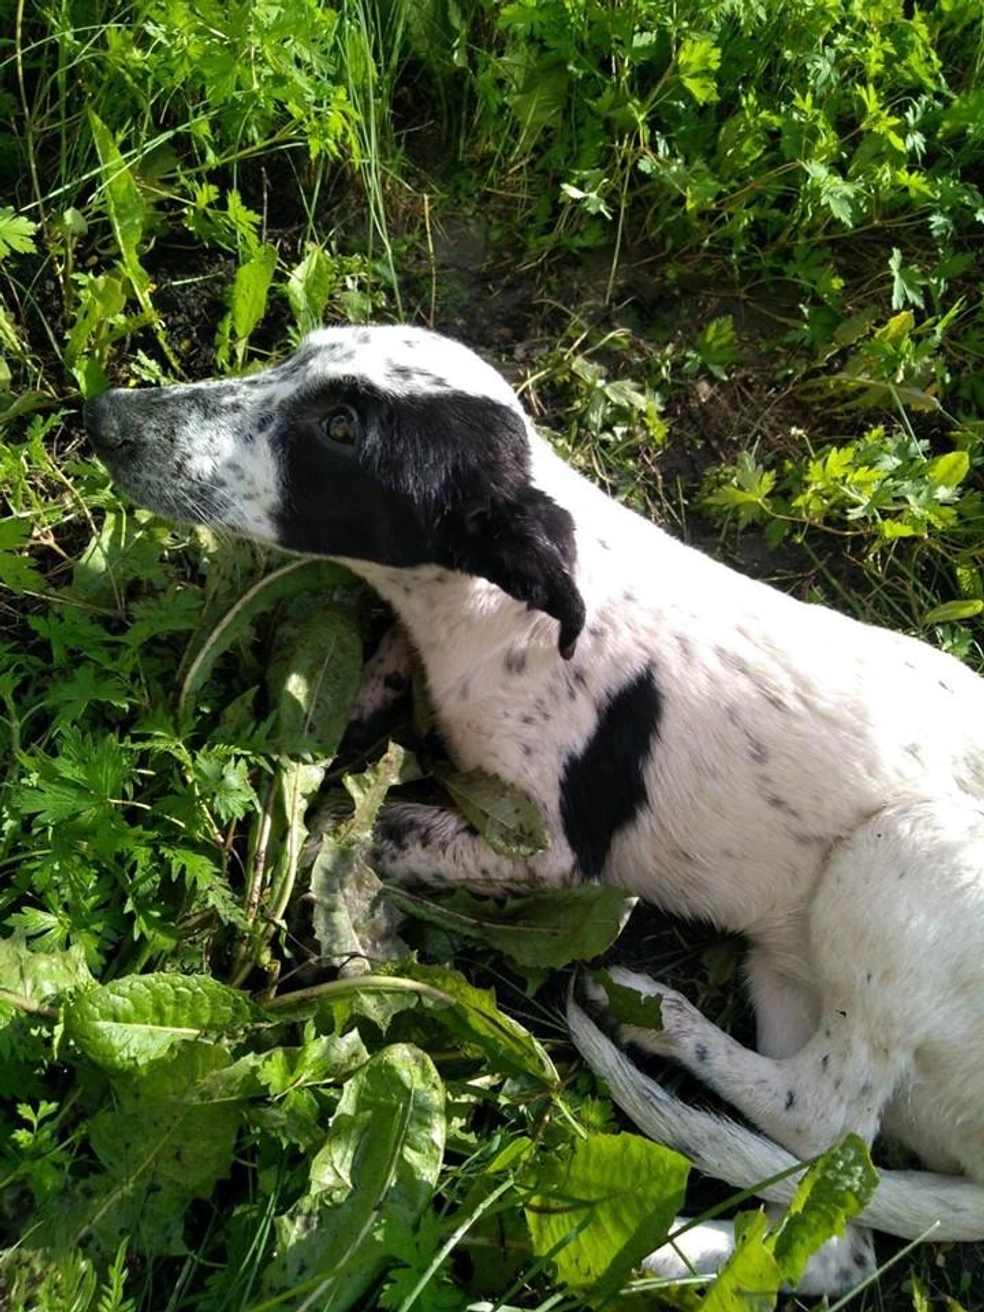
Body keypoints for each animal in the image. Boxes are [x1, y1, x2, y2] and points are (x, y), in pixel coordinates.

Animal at [82, 325, 984, 1291]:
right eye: (295, 356)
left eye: (340, 429)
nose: (105, 418)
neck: (502, 609)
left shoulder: (550, 851)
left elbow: (368, 828)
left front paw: (320, 847)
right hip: (784, 970)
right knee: (825, 1237)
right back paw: (640, 1239)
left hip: (897, 861)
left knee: (817, 1112)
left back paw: (650, 1041)